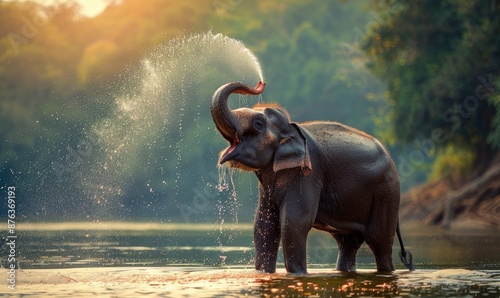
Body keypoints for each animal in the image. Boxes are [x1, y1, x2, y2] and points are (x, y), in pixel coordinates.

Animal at [210, 80, 414, 274]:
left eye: (258, 123)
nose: (260, 84)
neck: (292, 129)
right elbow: (263, 226)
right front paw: (263, 273)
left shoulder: (307, 174)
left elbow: (294, 223)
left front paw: (298, 275)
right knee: (348, 243)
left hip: (386, 193)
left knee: (379, 241)